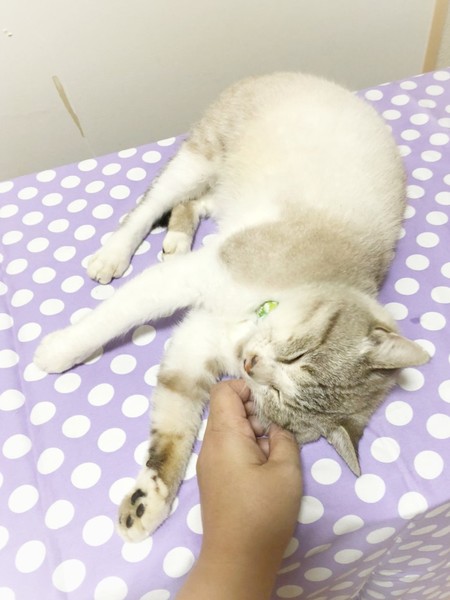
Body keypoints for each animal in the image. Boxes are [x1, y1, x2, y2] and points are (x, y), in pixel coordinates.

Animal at [34, 72, 430, 542]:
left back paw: (177, 236)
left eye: (274, 398)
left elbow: (176, 423)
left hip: (226, 194)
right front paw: (58, 351)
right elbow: (113, 317)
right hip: (200, 159)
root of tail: (308, 77)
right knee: (151, 205)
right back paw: (115, 254)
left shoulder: (193, 347)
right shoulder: (199, 275)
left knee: (196, 203)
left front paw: (151, 499)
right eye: (299, 357)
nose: (250, 362)